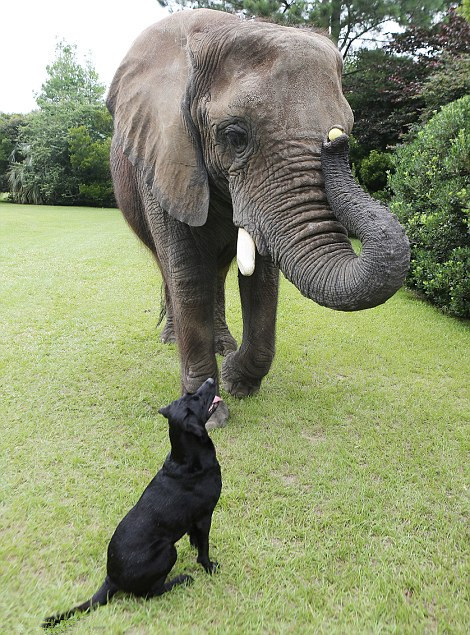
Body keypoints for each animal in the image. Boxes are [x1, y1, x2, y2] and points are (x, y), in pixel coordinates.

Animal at [42, 380, 222, 628]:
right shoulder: (205, 515)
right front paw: (208, 566)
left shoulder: (196, 520)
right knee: (149, 593)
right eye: (196, 398)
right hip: (168, 550)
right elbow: (204, 548)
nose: (211, 381)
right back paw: (180, 580)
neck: (186, 460)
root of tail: (111, 578)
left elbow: (194, 537)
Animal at [106, 7, 408, 428]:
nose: (336, 141)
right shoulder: (166, 155)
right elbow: (187, 273)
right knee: (173, 268)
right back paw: (171, 340)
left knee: (216, 274)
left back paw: (223, 345)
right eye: (235, 136)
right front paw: (207, 414)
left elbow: (263, 279)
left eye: (348, 126)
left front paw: (237, 380)